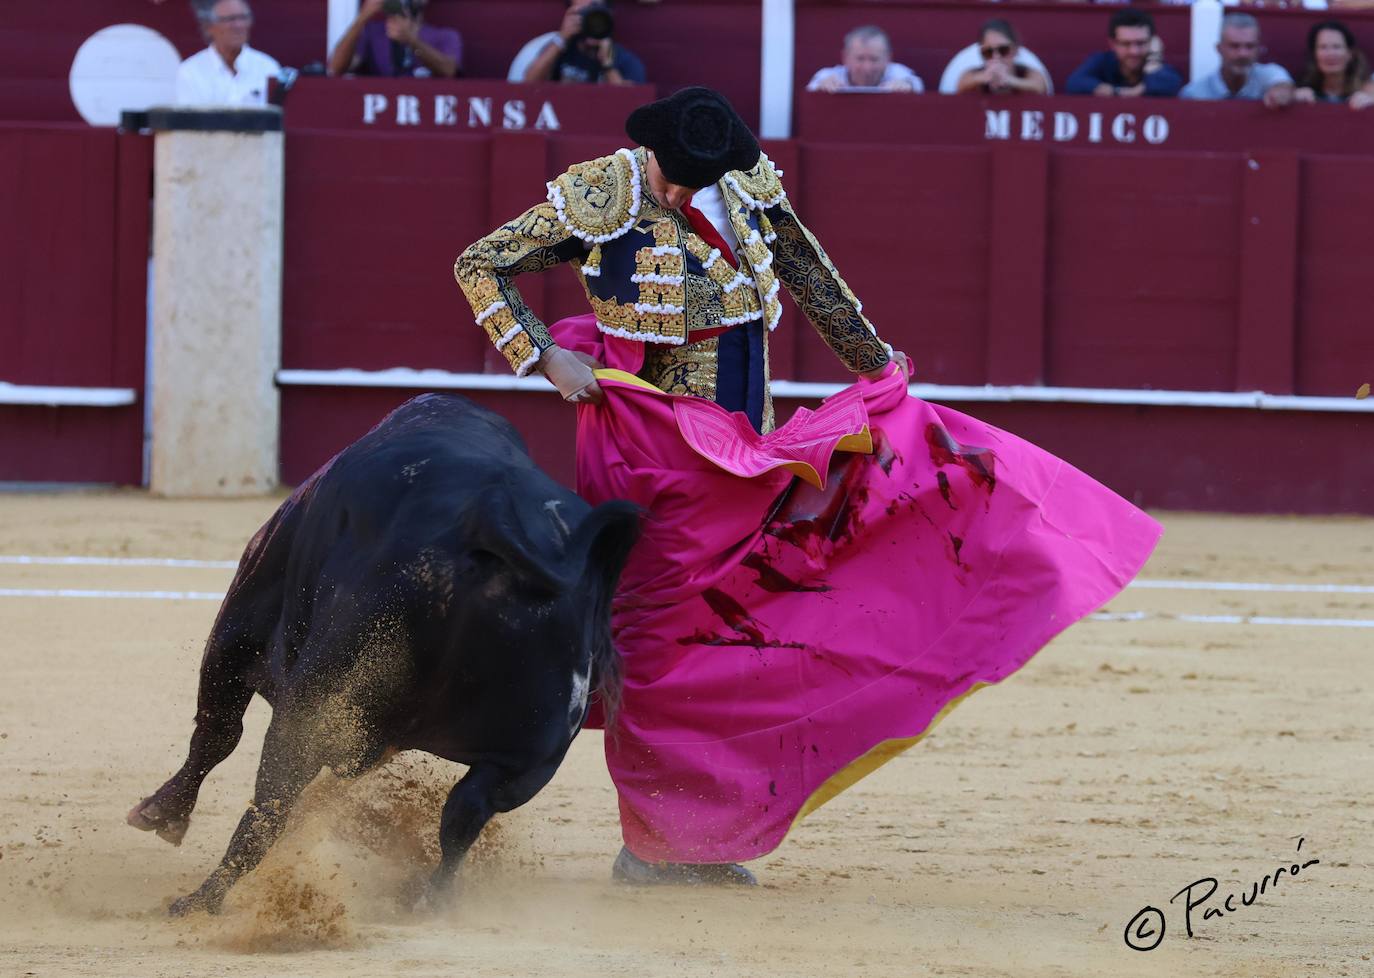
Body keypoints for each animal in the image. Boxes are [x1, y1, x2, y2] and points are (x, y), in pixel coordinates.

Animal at [126, 392, 640, 912]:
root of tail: (488, 529)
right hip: (529, 758)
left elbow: (216, 733)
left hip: (309, 706)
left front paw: (160, 813)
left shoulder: (239, 626)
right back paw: (428, 900)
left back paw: (200, 901)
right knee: (465, 813)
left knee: (268, 805)